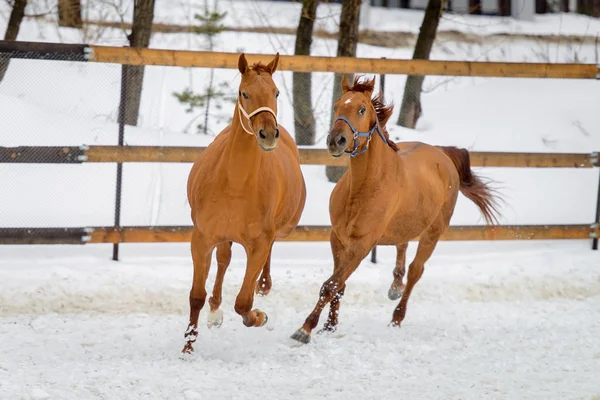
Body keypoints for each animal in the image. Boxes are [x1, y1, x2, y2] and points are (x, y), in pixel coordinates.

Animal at [182, 53, 304, 354]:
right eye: (244, 93)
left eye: (276, 92)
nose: (268, 134)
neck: (235, 184)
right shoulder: (201, 239)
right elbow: (196, 296)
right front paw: (188, 345)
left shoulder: (258, 244)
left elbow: (243, 302)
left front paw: (259, 316)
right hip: (222, 236)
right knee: (223, 260)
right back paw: (215, 311)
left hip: (285, 227)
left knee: (267, 253)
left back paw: (263, 285)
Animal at [290, 76, 502, 344]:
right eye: (337, 105)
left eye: (361, 109)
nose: (335, 141)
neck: (363, 187)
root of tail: (442, 153)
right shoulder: (337, 238)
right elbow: (339, 284)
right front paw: (329, 325)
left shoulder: (362, 244)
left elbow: (332, 285)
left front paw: (305, 329)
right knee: (402, 247)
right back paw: (394, 287)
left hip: (433, 234)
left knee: (415, 271)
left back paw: (397, 316)